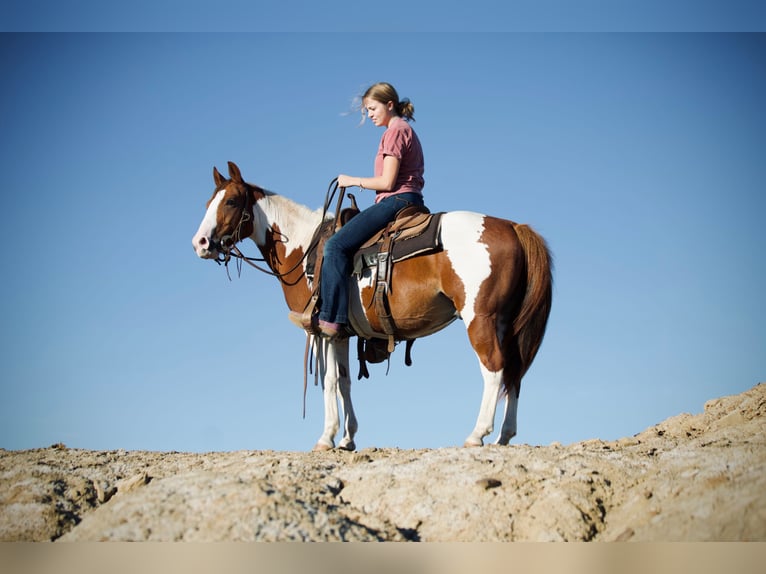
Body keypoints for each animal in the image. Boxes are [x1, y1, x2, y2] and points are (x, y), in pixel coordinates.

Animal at [192, 161, 553, 451]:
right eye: (209, 202)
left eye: (232, 201)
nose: (200, 243)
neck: (305, 249)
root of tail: (512, 227)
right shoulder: (340, 333)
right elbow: (345, 382)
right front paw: (348, 438)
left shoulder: (321, 330)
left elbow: (331, 381)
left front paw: (326, 437)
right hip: (506, 323)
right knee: (515, 370)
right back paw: (504, 435)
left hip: (480, 318)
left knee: (494, 367)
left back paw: (477, 434)